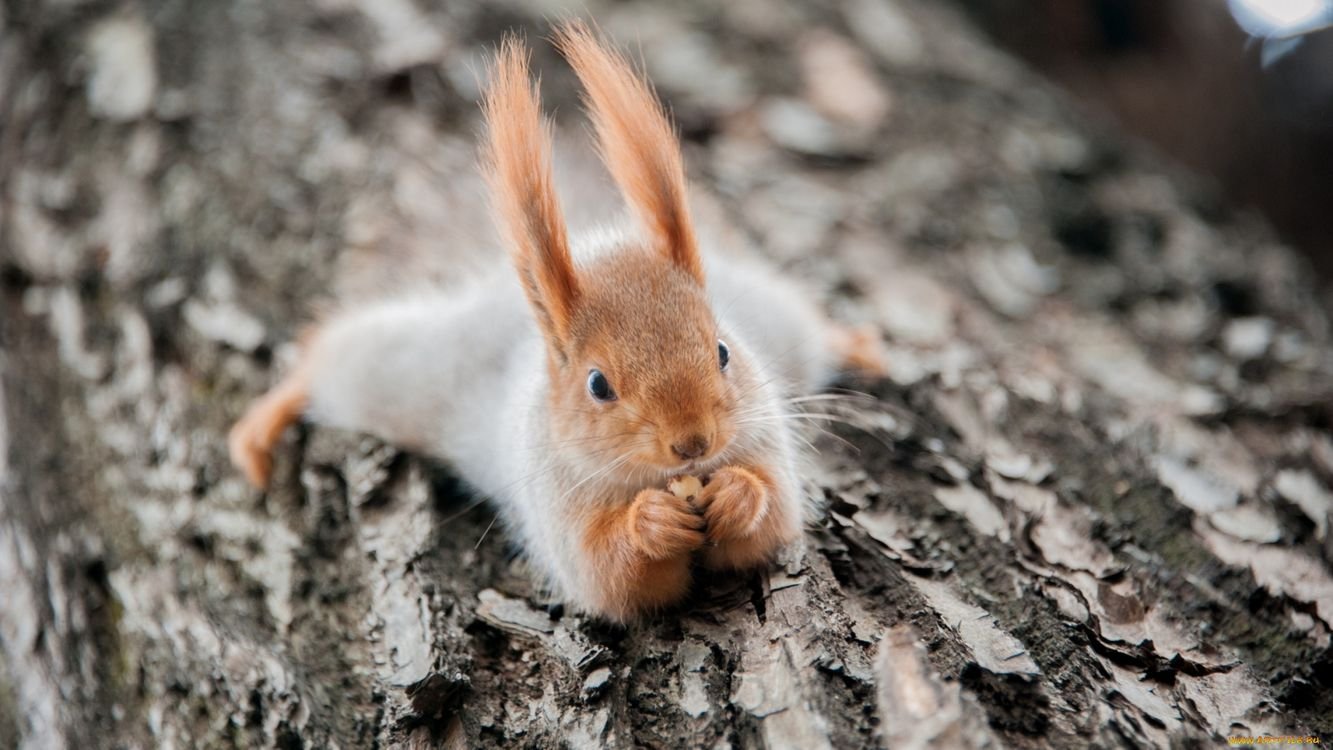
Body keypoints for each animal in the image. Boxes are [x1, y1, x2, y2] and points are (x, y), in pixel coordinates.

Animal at [229, 21, 885, 623]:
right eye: (598, 385)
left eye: (723, 351)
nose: (693, 443)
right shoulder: (558, 504)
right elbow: (605, 572)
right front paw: (650, 522)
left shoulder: (764, 437)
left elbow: (773, 519)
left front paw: (736, 494)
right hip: (410, 370)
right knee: (332, 358)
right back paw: (265, 420)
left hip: (775, 317)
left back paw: (861, 345)